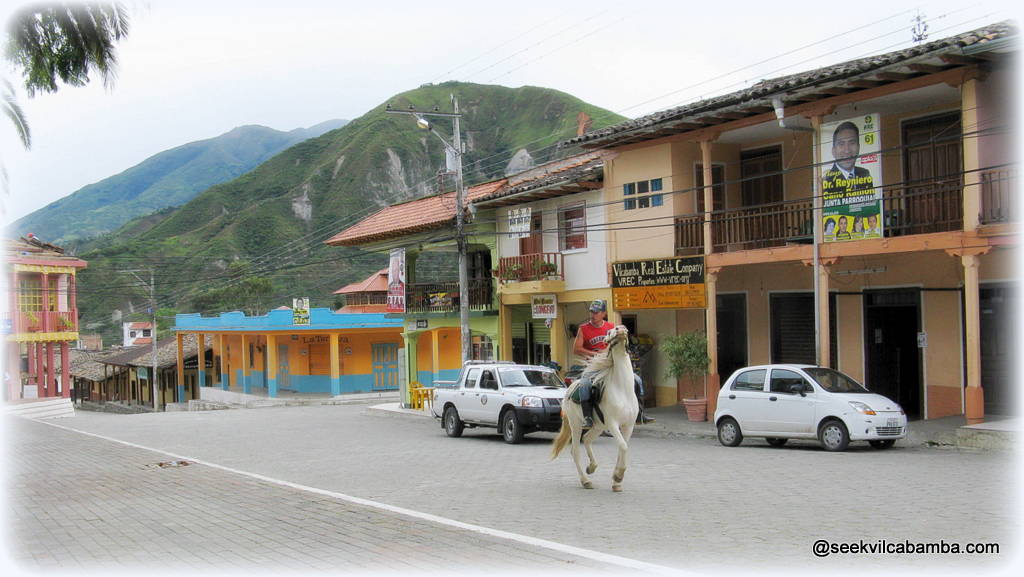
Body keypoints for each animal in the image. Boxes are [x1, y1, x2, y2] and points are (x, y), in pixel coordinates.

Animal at [548, 325, 634, 491]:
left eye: (624, 328)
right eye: (610, 332)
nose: (620, 329)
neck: (622, 389)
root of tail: (569, 389)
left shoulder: (628, 426)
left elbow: (623, 448)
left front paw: (616, 482)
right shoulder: (613, 424)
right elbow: (623, 446)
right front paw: (618, 475)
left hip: (598, 426)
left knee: (587, 439)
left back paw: (591, 467)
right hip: (576, 425)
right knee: (575, 451)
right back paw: (585, 480)